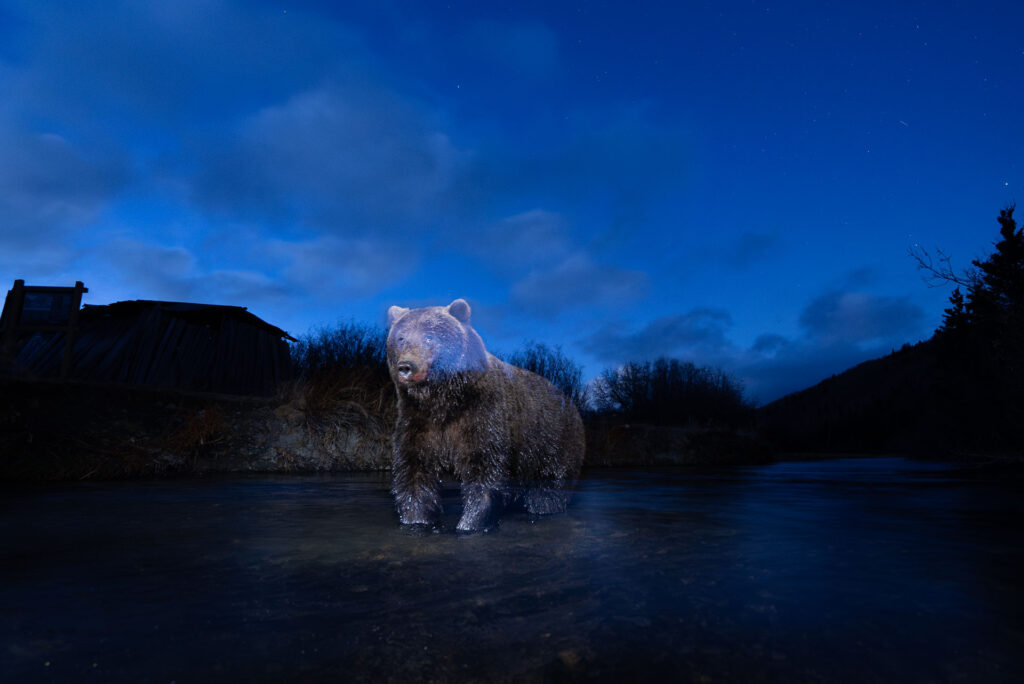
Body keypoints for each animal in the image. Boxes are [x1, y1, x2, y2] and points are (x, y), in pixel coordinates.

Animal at [386, 298, 585, 532]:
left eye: (429, 337)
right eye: (401, 338)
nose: (407, 366)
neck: (443, 399)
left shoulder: (483, 412)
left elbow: (485, 465)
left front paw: (470, 523)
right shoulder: (417, 419)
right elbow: (414, 469)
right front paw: (417, 519)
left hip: (553, 437)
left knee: (552, 479)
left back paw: (544, 504)